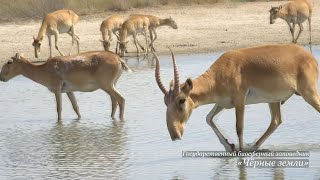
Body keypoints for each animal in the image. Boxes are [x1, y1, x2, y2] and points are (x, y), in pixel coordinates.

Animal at [0, 50, 131, 121]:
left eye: (9, 62)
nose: (1, 77)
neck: (43, 70)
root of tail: (119, 59)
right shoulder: (69, 90)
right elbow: (76, 107)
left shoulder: (57, 88)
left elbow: (59, 108)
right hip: (112, 84)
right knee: (114, 101)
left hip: (106, 85)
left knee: (121, 99)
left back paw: (121, 119)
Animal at [154, 44, 318, 151]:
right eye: (165, 102)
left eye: (181, 100)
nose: (175, 134)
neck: (220, 73)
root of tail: (311, 58)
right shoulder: (223, 104)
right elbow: (208, 118)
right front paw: (230, 146)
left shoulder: (240, 101)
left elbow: (239, 127)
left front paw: (240, 151)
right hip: (274, 100)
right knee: (276, 121)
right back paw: (254, 146)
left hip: (309, 94)